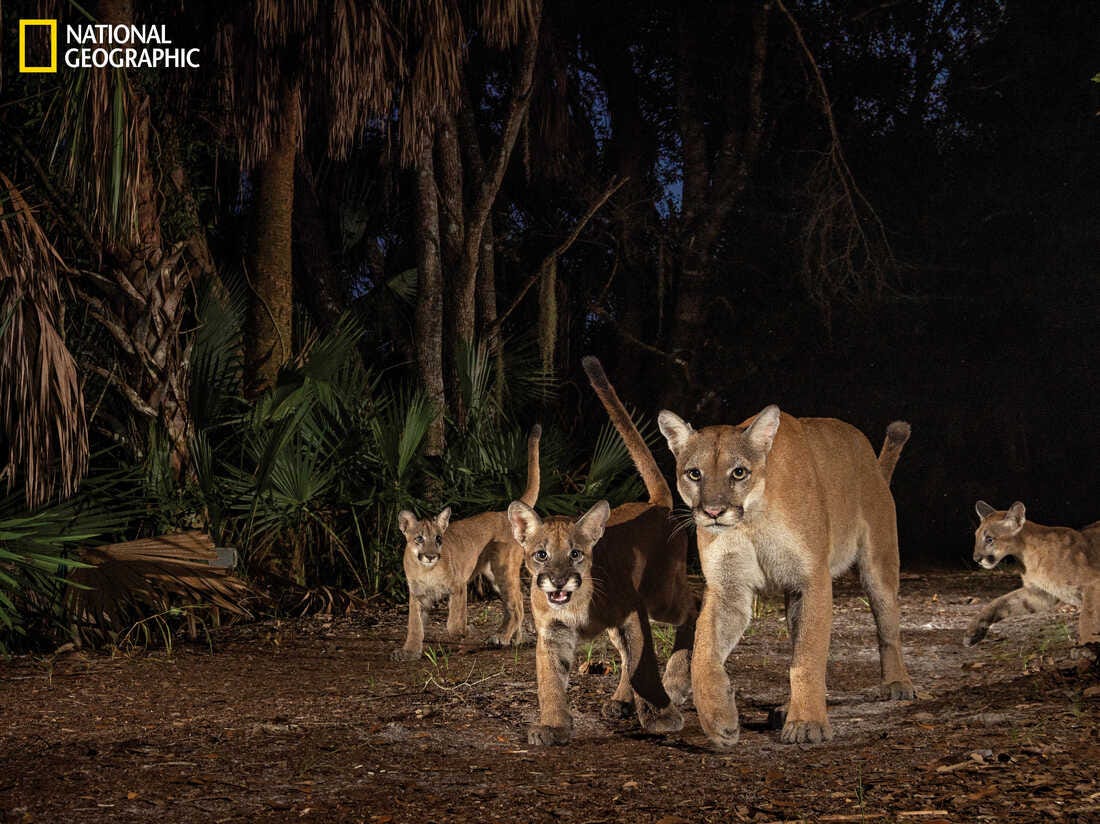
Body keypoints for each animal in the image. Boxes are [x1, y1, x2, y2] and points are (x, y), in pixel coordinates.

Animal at [391, 424, 541, 660]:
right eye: (419, 538)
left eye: (438, 539)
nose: (431, 555)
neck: (426, 569)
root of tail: (503, 513)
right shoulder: (417, 595)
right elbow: (414, 626)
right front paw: (409, 651)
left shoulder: (458, 585)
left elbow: (453, 623)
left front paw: (467, 630)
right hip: (494, 576)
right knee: (516, 602)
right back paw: (515, 639)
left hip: (502, 568)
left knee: (516, 606)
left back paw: (500, 637)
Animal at [510, 356, 699, 743]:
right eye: (541, 555)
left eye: (576, 554)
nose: (558, 581)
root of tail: (655, 504)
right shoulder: (553, 631)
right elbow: (550, 679)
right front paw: (553, 725)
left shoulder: (631, 613)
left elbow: (644, 665)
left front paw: (661, 715)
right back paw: (622, 701)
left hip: (661, 597)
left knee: (695, 605)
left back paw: (675, 681)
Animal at [660, 404, 910, 743]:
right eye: (694, 474)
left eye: (738, 472)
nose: (713, 512)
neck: (752, 520)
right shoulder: (727, 589)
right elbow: (704, 651)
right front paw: (718, 718)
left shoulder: (812, 579)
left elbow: (807, 659)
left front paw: (806, 723)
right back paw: (784, 708)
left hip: (877, 565)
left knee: (887, 626)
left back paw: (896, 683)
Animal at [963, 501, 1100, 651]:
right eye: (976, 537)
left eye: (989, 539)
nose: (976, 559)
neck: (1025, 555)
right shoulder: (1040, 592)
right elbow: (1001, 601)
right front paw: (973, 631)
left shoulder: (1093, 583)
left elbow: (1088, 618)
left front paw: (1088, 647)